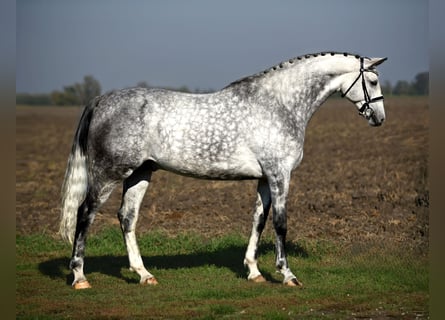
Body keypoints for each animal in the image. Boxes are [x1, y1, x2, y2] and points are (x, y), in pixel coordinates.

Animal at [58, 51, 386, 288]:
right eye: (372, 81)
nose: (379, 118)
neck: (279, 104)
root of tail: (101, 100)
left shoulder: (264, 179)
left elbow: (258, 221)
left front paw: (254, 272)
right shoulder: (280, 175)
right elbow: (280, 223)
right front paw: (288, 275)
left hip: (140, 173)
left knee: (127, 218)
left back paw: (144, 274)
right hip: (108, 174)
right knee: (85, 215)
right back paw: (79, 277)